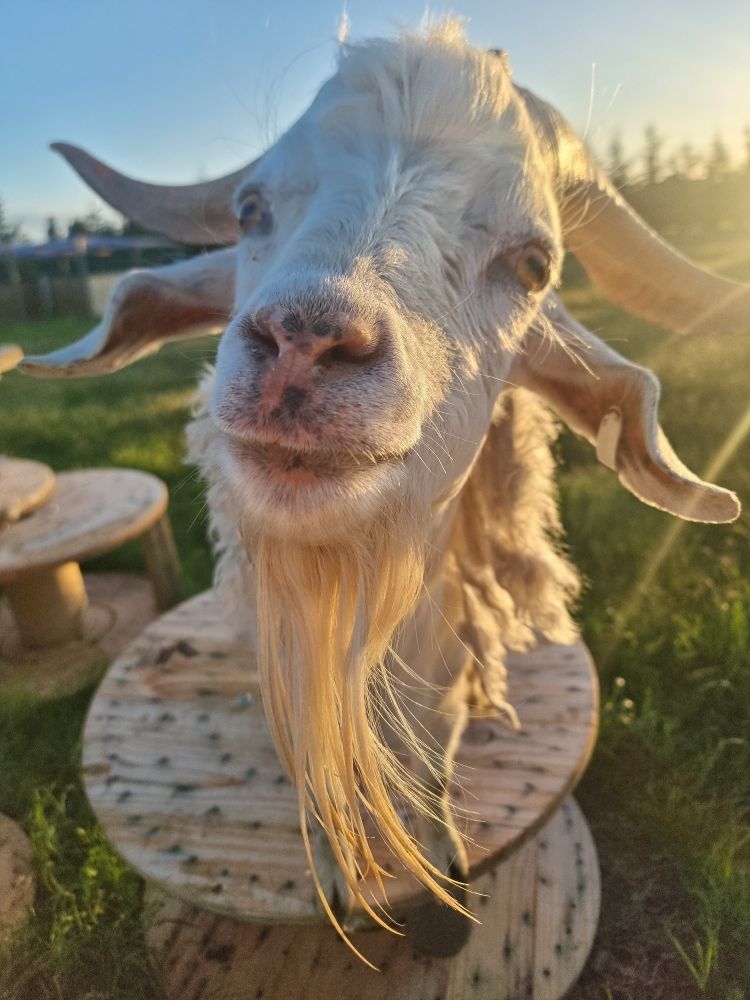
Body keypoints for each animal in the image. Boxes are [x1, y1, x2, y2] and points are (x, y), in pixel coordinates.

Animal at [22, 20, 746, 961]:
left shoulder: (449, 665)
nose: (304, 340)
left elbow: (436, 763)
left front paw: (444, 889)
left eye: (535, 263)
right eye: (249, 210)